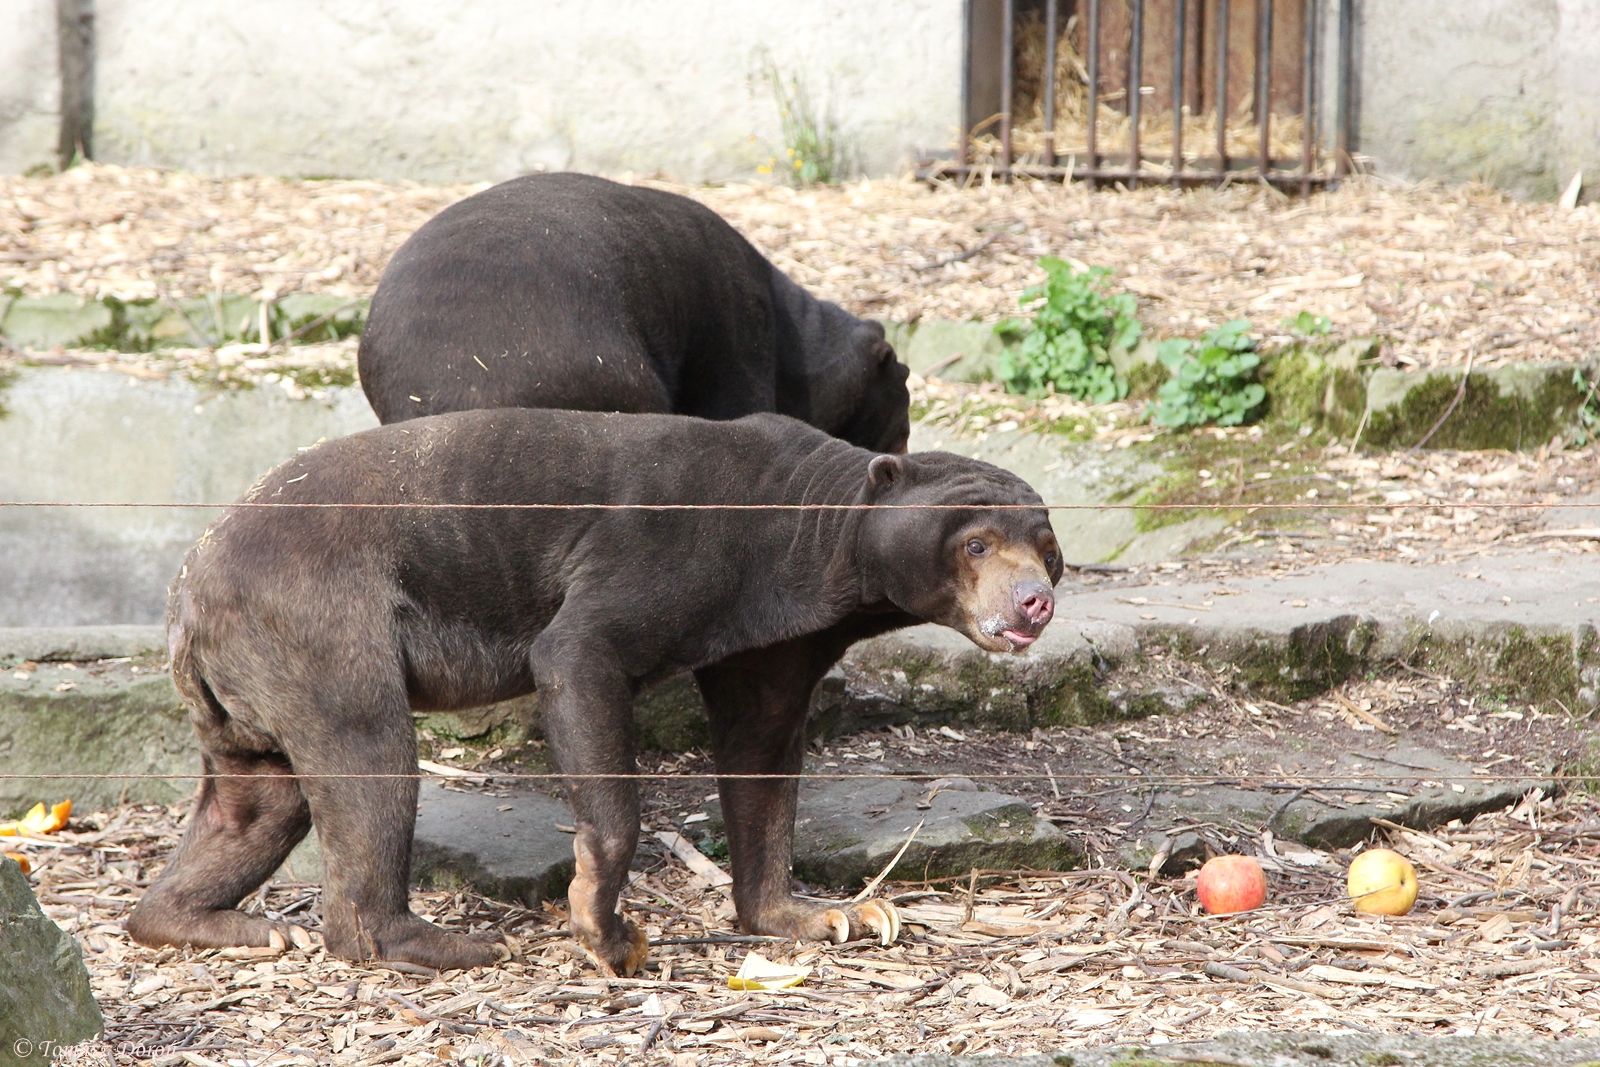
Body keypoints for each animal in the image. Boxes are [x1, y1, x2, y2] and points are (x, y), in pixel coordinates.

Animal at [127, 409, 1060, 974]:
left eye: (1046, 548)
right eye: (976, 543)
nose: (1035, 602)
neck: (810, 548)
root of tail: (183, 596)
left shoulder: (772, 643)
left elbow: (761, 755)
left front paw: (835, 916)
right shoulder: (663, 553)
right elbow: (578, 657)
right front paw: (609, 931)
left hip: (253, 682)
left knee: (254, 801)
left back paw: (221, 921)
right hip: (321, 622)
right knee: (369, 758)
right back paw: (443, 942)